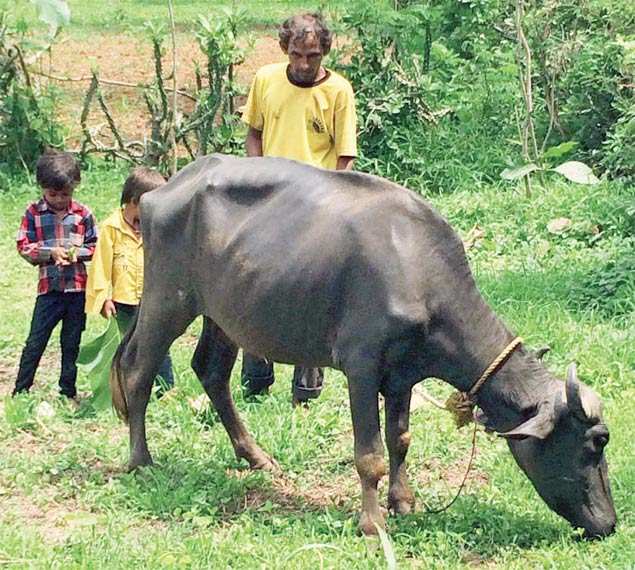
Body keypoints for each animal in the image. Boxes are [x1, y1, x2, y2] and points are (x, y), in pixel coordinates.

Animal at [109, 152, 616, 536]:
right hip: (167, 300)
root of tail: (166, 187)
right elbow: (369, 454)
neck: (417, 268)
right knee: (138, 369)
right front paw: (373, 522)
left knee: (211, 371)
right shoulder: (361, 366)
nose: (608, 523)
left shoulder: (403, 375)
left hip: (224, 313)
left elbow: (400, 439)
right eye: (594, 443)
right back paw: (141, 460)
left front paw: (403, 502)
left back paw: (255, 457)